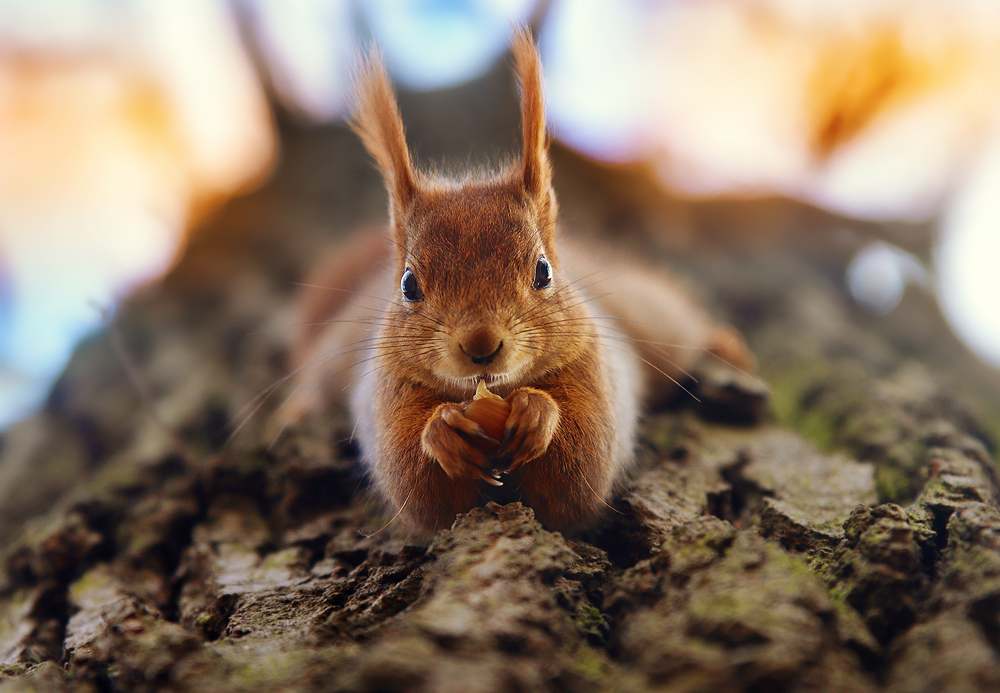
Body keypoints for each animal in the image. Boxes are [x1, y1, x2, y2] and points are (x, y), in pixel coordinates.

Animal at [286, 31, 752, 536]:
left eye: (543, 271)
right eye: (409, 284)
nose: (480, 345)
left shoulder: (599, 372)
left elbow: (583, 463)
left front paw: (537, 412)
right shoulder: (384, 394)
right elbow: (415, 482)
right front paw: (443, 431)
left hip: (653, 321)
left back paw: (724, 345)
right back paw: (297, 407)